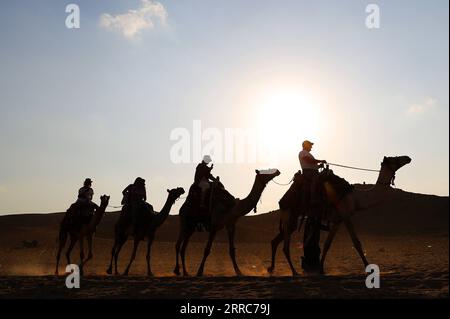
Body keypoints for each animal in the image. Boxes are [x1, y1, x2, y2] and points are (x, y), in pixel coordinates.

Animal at [268, 156, 412, 276]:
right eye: (394, 158)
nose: (408, 158)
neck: (356, 198)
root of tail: (282, 201)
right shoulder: (346, 215)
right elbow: (356, 242)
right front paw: (368, 268)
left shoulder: (338, 220)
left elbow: (327, 244)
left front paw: (320, 269)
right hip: (288, 214)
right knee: (285, 247)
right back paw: (294, 272)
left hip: (292, 219)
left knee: (275, 241)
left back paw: (271, 268)